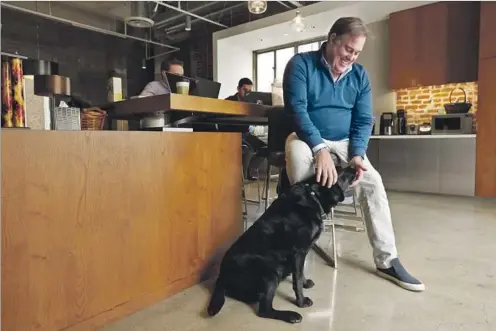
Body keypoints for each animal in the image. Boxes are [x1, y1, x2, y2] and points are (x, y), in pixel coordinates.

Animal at [207, 166, 358, 324]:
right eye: (342, 171)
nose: (355, 167)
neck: (313, 195)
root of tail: (221, 277)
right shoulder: (299, 251)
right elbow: (297, 279)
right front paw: (301, 302)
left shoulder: (302, 253)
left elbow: (300, 273)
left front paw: (305, 283)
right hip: (271, 272)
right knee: (264, 310)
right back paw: (291, 315)